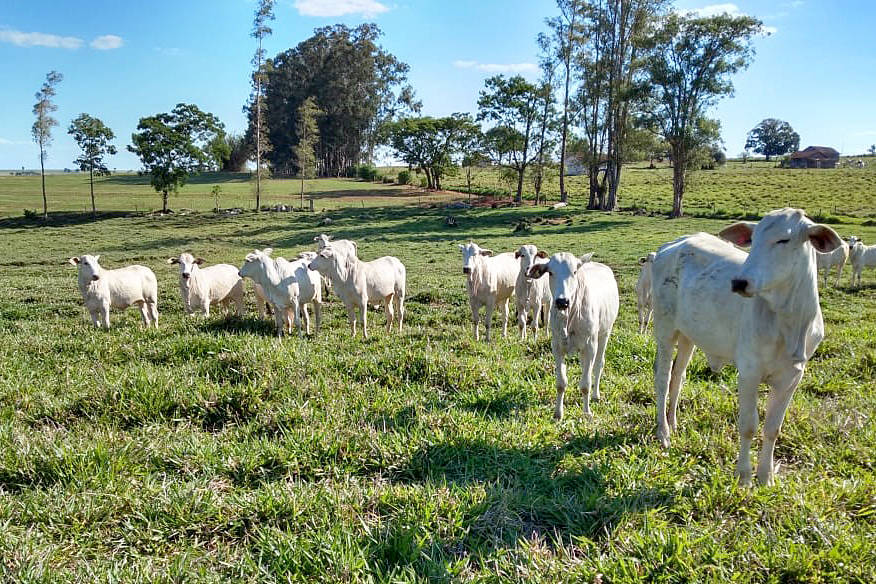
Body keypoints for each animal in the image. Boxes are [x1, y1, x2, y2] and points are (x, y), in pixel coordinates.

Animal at [524, 251, 620, 420]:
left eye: (574, 272)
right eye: (550, 272)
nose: (562, 302)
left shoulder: (590, 346)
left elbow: (585, 384)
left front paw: (587, 412)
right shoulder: (557, 346)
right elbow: (561, 383)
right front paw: (558, 413)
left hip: (604, 334)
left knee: (598, 365)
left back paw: (596, 395)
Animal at [652, 208, 840, 486]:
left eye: (784, 240)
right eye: (754, 238)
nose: (739, 282)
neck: (790, 321)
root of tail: (674, 244)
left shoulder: (793, 377)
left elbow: (773, 428)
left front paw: (766, 476)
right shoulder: (749, 372)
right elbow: (749, 425)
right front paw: (744, 477)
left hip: (688, 335)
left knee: (678, 376)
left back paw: (673, 424)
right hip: (665, 329)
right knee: (663, 378)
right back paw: (663, 432)